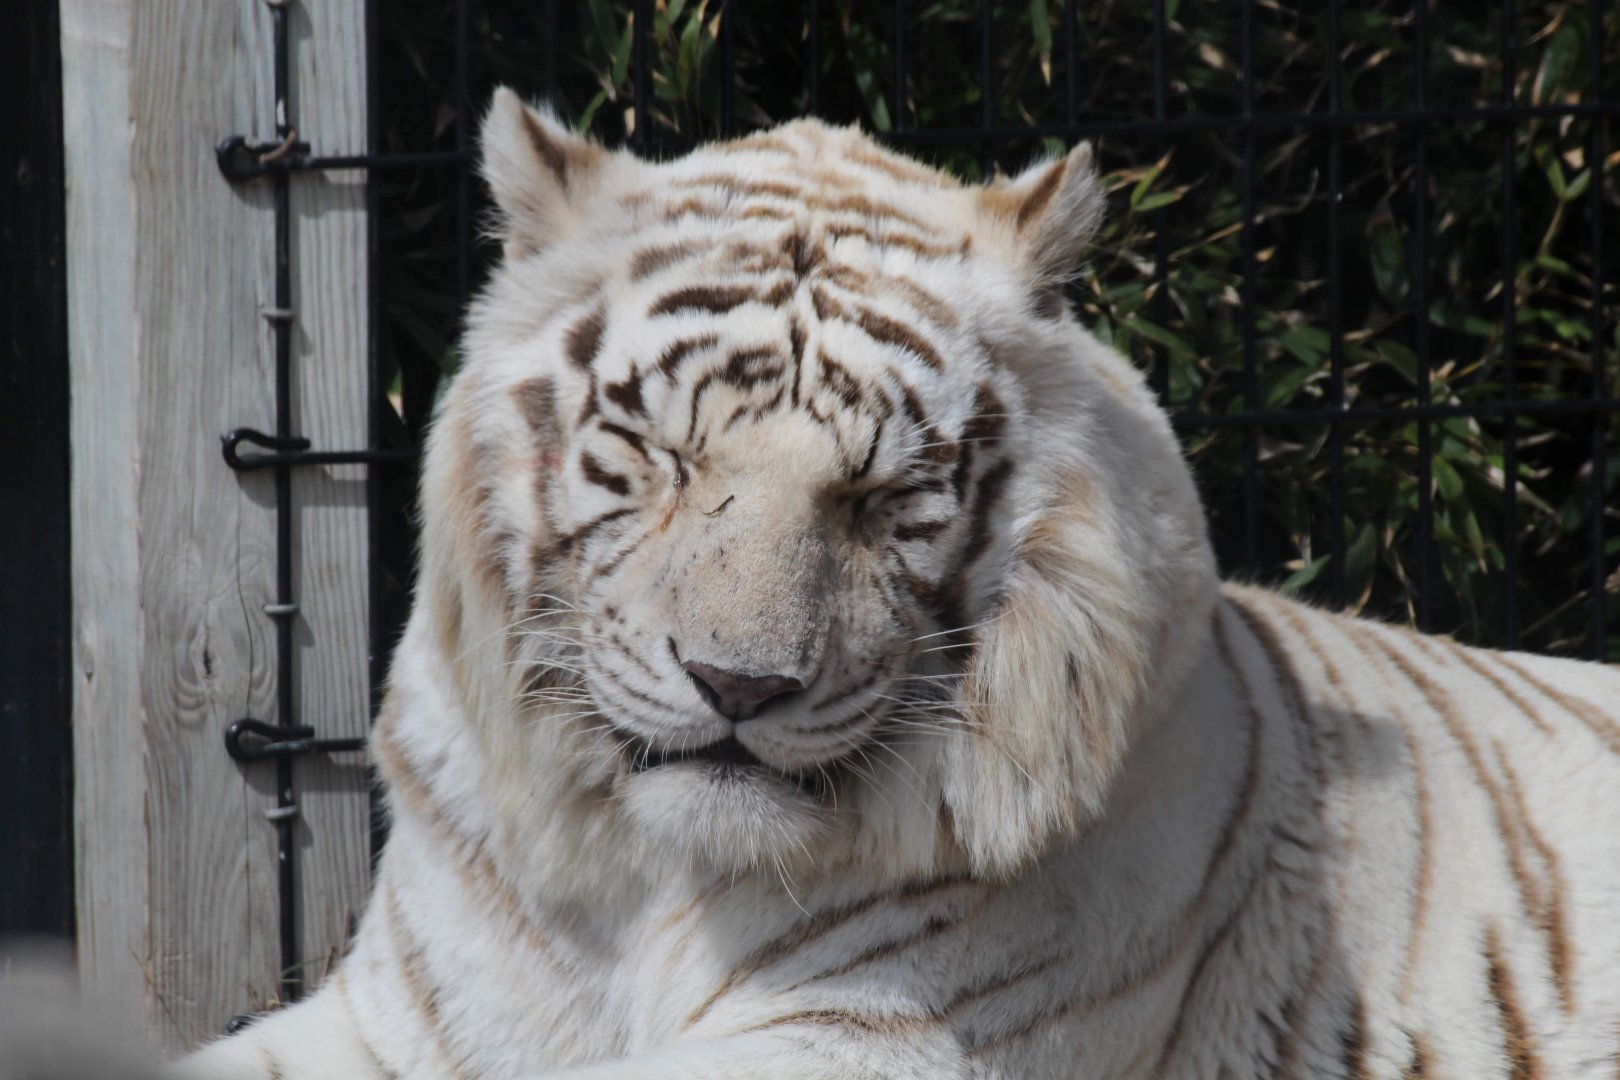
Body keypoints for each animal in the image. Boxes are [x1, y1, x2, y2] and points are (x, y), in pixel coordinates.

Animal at [162, 90, 1620, 1079]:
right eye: (665, 456)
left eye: (881, 500)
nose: (739, 684)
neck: (647, 886)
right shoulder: (403, 1020)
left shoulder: (877, 1036)